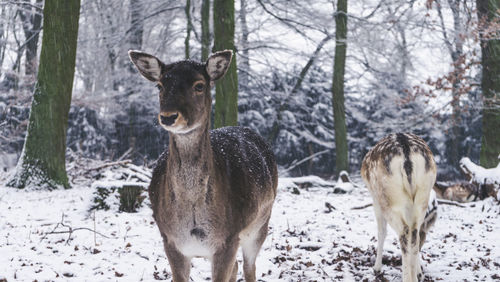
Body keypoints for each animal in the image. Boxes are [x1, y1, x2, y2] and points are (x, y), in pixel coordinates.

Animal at [128, 50, 278, 282]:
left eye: (199, 85)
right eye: (160, 86)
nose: (169, 116)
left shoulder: (228, 239)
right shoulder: (170, 241)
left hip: (260, 224)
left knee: (249, 267)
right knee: (237, 266)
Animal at [360, 133, 438, 282]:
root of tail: (407, 157)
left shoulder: (375, 200)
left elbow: (382, 232)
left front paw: (376, 268)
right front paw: (419, 272)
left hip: (388, 198)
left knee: (404, 232)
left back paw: (407, 278)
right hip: (423, 196)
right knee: (415, 234)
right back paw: (417, 275)